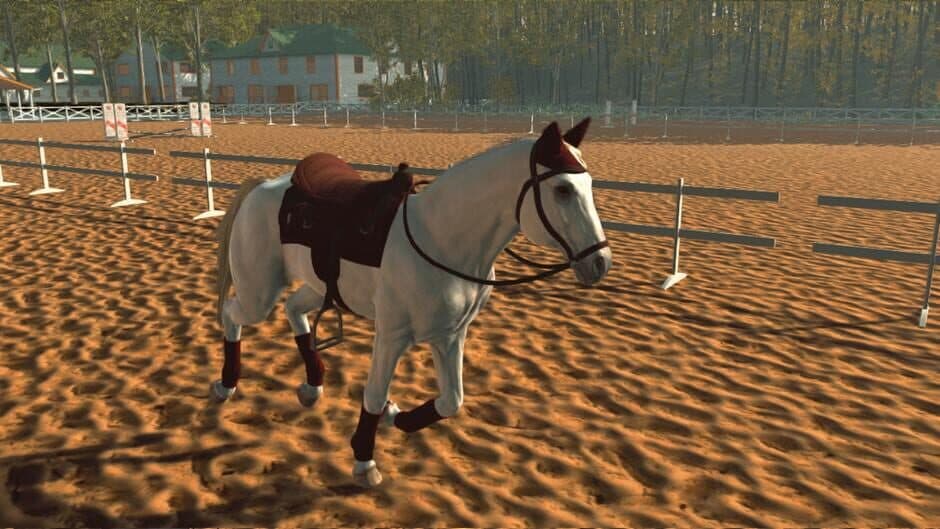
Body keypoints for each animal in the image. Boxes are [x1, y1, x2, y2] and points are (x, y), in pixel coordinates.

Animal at [211, 118, 612, 487]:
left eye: (590, 185)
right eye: (562, 189)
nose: (599, 263)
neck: (440, 239)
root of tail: (263, 186)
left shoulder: (450, 335)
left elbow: (451, 400)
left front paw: (394, 416)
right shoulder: (392, 336)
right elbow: (374, 394)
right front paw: (364, 461)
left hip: (317, 286)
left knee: (293, 308)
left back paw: (311, 387)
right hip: (259, 292)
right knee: (232, 313)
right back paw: (225, 385)